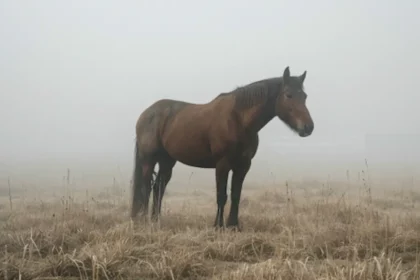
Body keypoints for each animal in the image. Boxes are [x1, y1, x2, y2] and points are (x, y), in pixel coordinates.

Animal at [130, 66, 314, 230]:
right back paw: (143, 220)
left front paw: (233, 225)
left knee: (158, 188)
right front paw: (218, 226)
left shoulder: (243, 165)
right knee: (146, 187)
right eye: (289, 95)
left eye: (304, 96)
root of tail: (145, 114)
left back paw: (156, 220)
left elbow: (236, 195)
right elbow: (221, 196)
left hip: (167, 161)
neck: (238, 120)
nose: (308, 127)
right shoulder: (222, 164)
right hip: (148, 160)